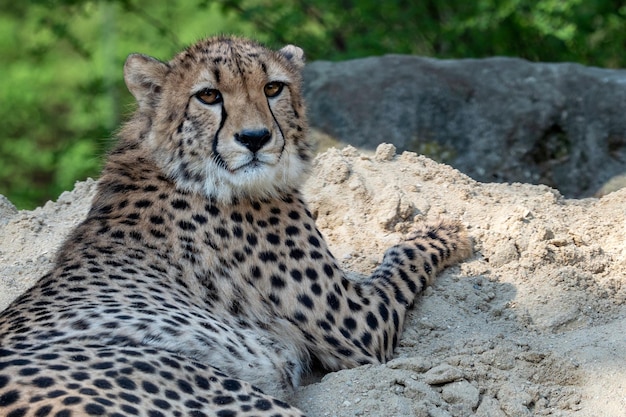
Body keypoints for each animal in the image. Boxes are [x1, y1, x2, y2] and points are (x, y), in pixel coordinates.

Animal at [0, 36, 468, 416]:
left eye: (273, 88)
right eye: (208, 95)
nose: (255, 138)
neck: (177, 165)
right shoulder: (360, 324)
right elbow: (402, 257)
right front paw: (446, 233)